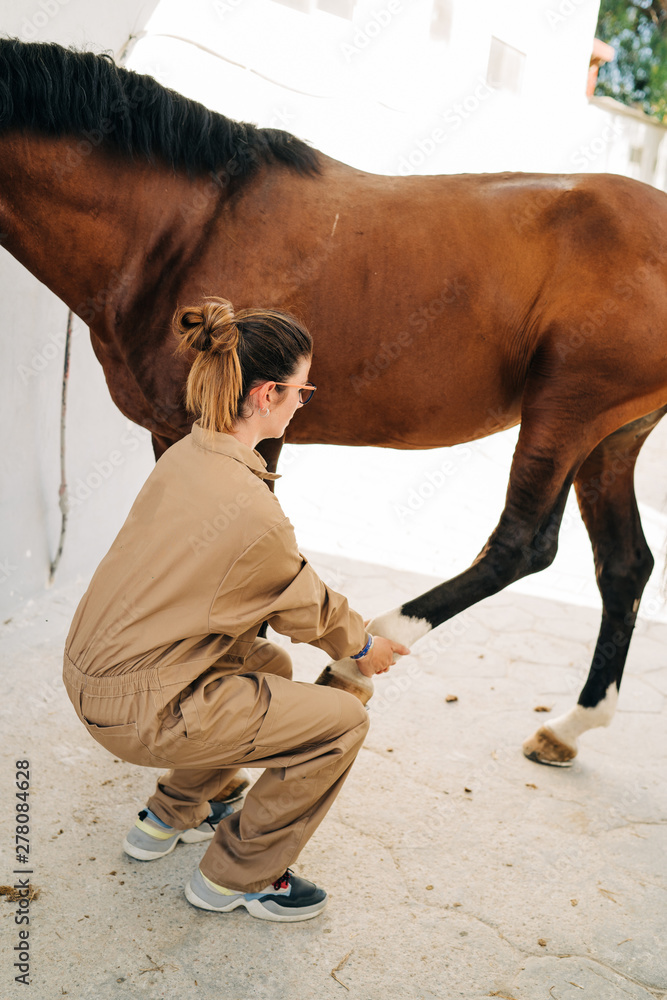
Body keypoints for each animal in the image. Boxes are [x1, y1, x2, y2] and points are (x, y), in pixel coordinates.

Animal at [2, 37, 667, 767]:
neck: (188, 228)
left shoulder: (247, 433)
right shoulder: (179, 435)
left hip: (568, 408)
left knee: (522, 546)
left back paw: (358, 662)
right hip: (612, 436)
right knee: (625, 564)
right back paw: (571, 725)